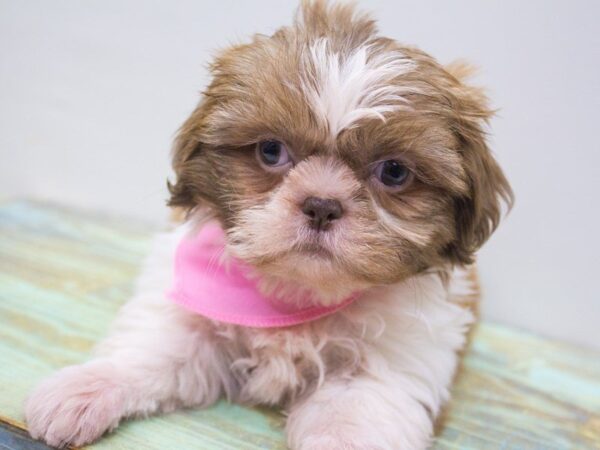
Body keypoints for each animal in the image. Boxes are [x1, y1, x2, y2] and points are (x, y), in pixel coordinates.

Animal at [23, 1, 510, 448]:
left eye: (393, 172)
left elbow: (353, 413)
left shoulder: (387, 365)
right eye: (271, 151)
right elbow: (152, 349)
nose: (321, 205)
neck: (295, 295)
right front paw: (86, 388)